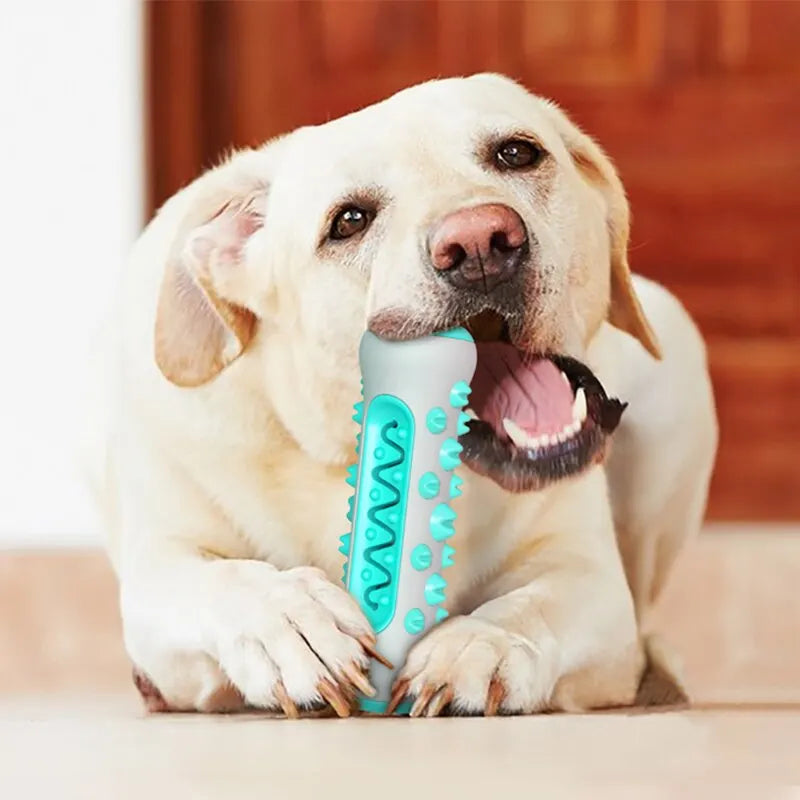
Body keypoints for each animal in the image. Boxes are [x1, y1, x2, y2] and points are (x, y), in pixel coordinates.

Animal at [90, 75, 716, 720]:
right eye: (349, 221)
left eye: (517, 153)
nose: (480, 242)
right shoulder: (158, 573)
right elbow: (225, 580)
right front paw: (291, 622)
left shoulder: (589, 578)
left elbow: (532, 606)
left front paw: (480, 645)